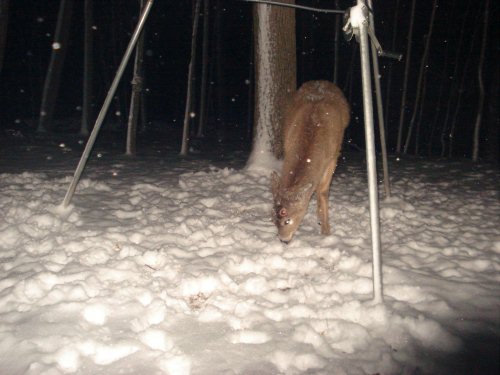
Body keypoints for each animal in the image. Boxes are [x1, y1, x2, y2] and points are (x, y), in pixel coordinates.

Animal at [272, 80, 350, 244]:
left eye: (288, 220)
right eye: (273, 219)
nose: (284, 240)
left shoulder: (333, 156)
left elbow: (323, 191)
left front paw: (325, 230)